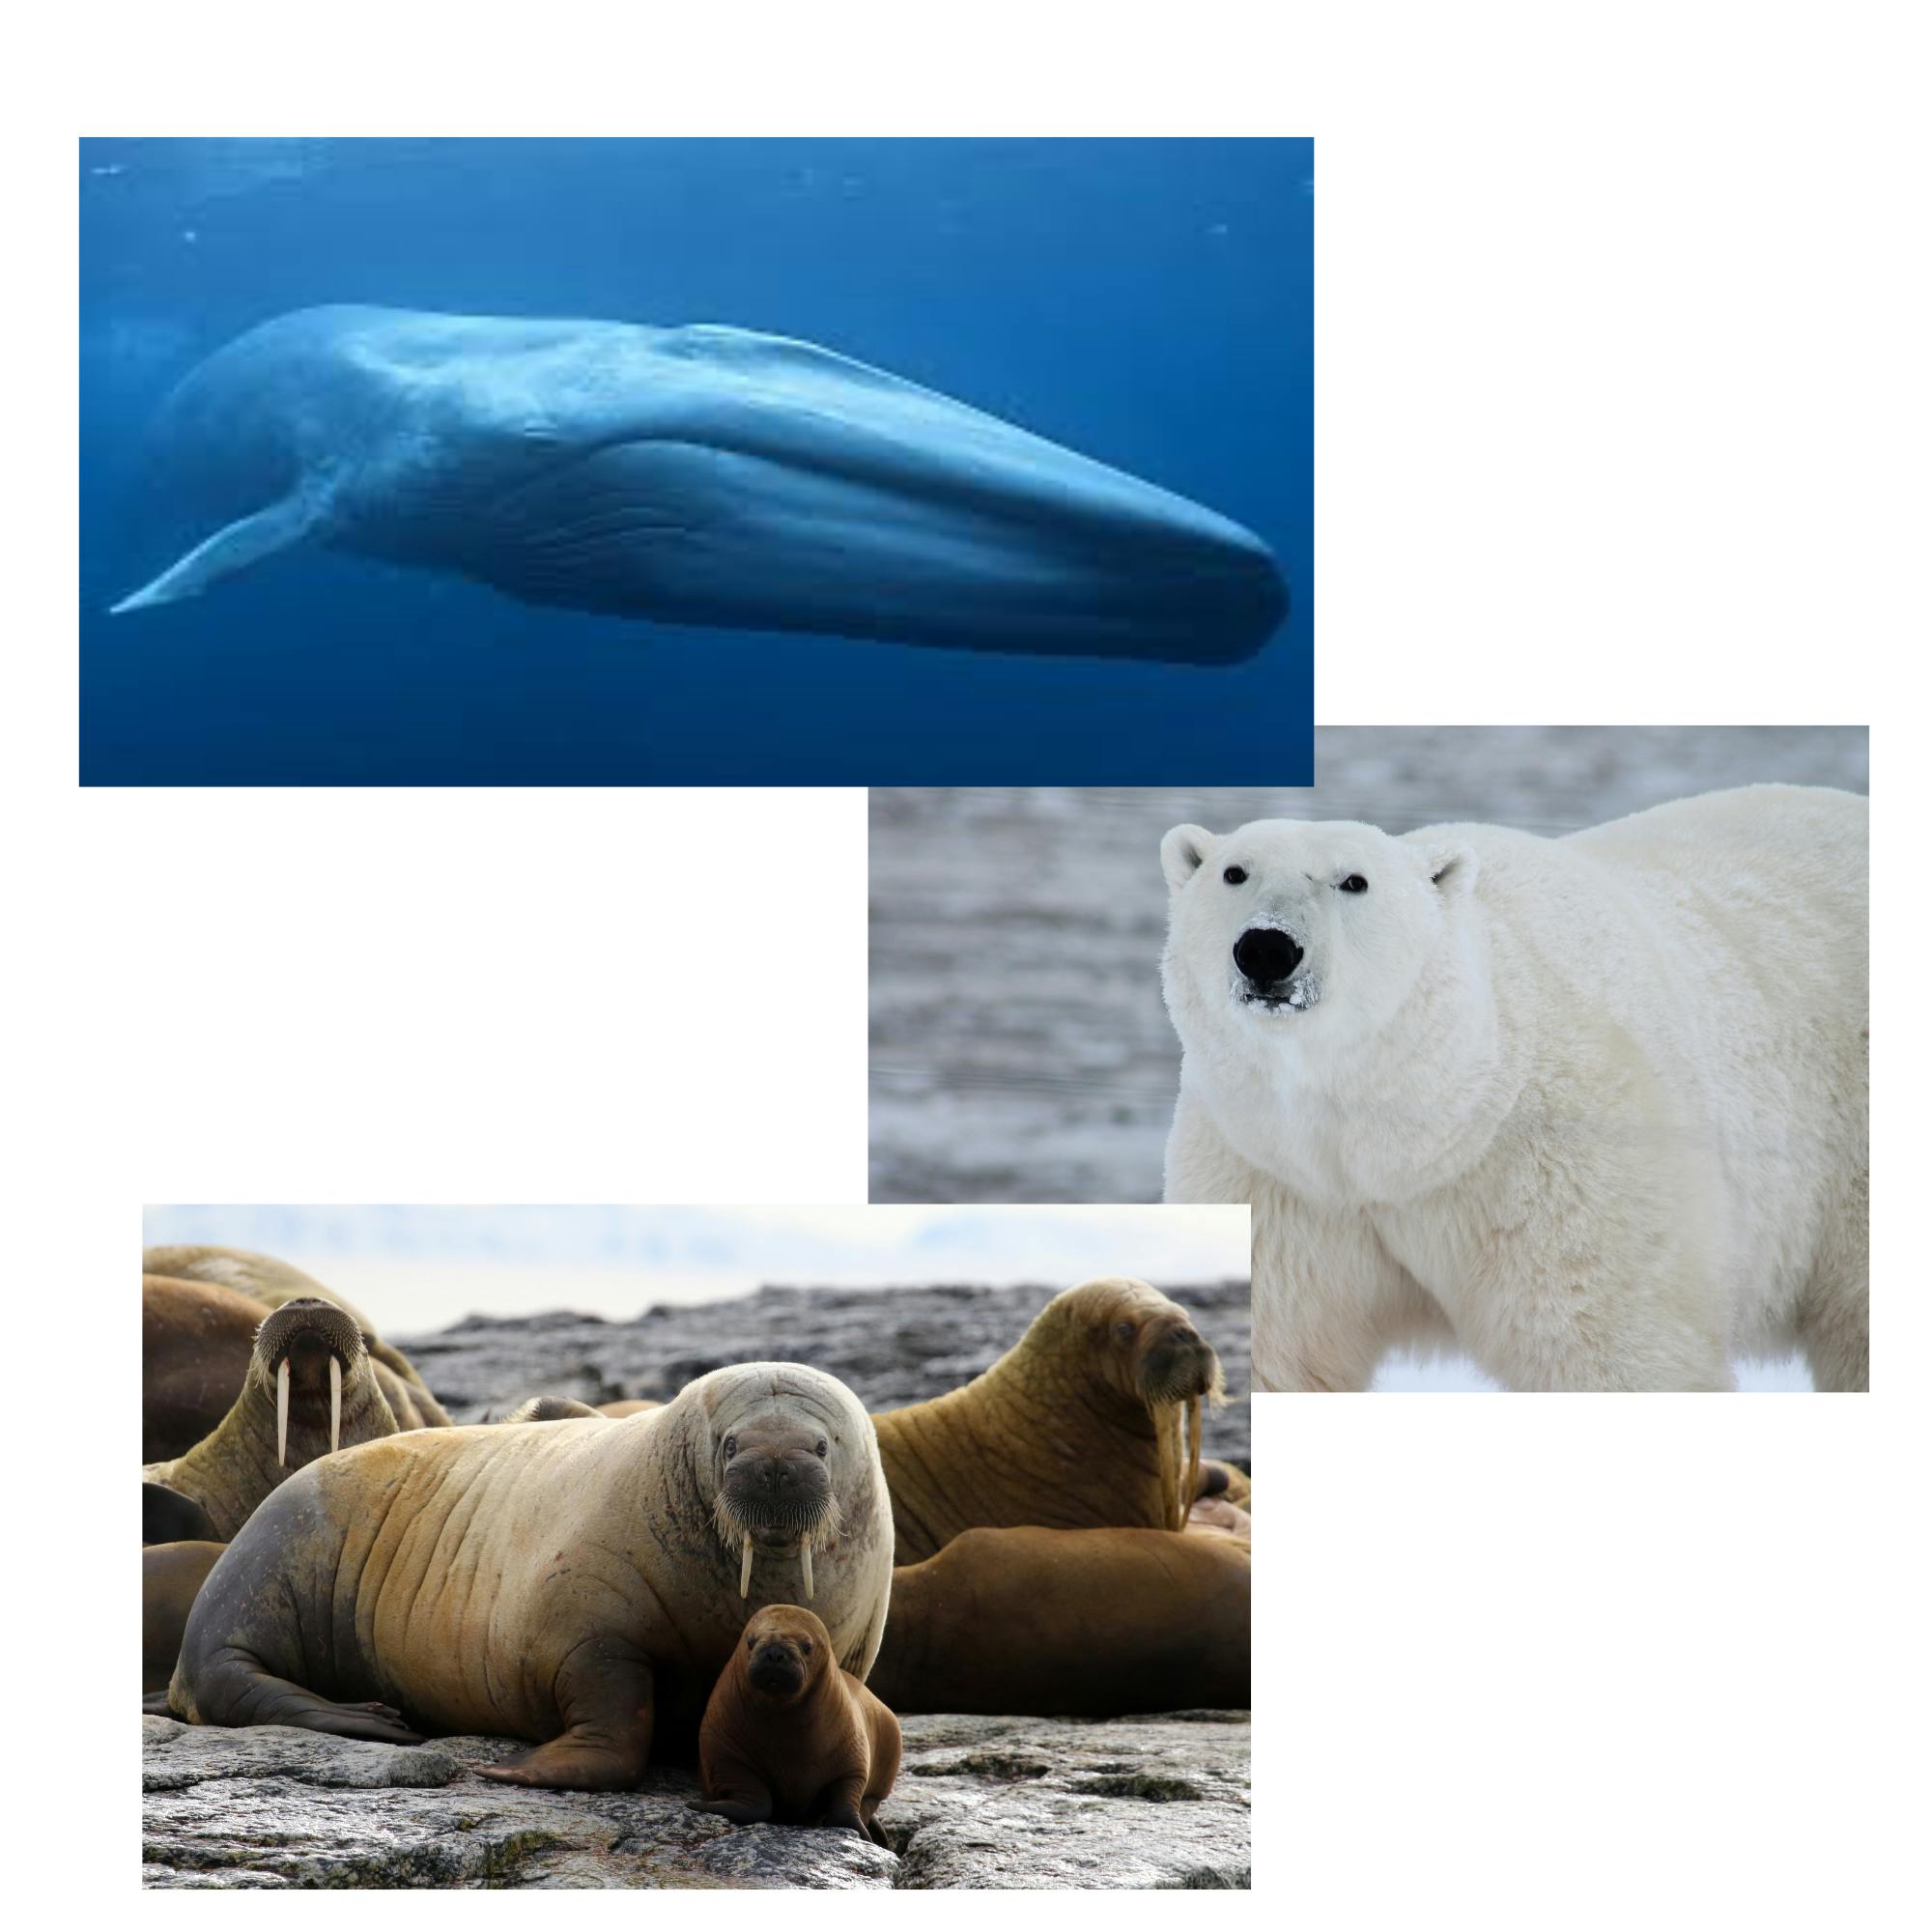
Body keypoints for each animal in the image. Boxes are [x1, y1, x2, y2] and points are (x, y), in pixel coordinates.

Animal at [1159, 784, 1868, 1393]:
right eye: (1234, 872)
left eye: (1353, 880)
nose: (1267, 949)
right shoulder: (1276, 1175)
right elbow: (1283, 1349)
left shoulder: (1561, 1168)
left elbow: (1610, 1346)